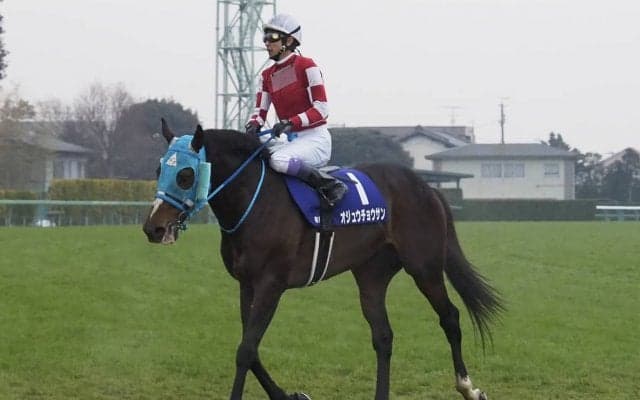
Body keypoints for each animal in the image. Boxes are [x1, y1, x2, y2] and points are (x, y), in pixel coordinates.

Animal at [143, 119, 503, 400]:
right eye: (160, 168)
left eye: (186, 175)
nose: (153, 228)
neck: (256, 201)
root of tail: (426, 187)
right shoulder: (247, 284)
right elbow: (251, 348)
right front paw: (288, 395)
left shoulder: (271, 284)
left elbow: (245, 350)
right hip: (371, 274)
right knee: (383, 336)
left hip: (424, 266)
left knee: (450, 317)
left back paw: (469, 387)